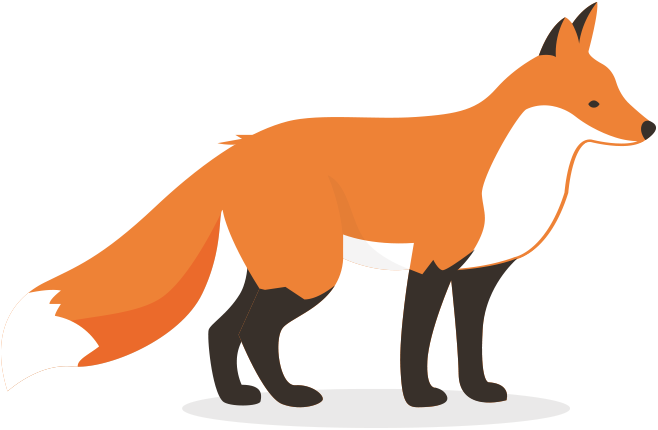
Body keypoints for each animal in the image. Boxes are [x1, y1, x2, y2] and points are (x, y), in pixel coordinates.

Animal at [1, 2, 655, 410]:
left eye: (619, 90)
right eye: (596, 102)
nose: (649, 128)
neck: (517, 171)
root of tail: (239, 146)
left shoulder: (481, 276)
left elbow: (470, 346)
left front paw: (477, 396)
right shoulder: (432, 264)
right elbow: (414, 342)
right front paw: (421, 401)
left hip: (277, 272)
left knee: (220, 329)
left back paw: (242, 400)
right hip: (312, 276)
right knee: (253, 332)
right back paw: (289, 401)